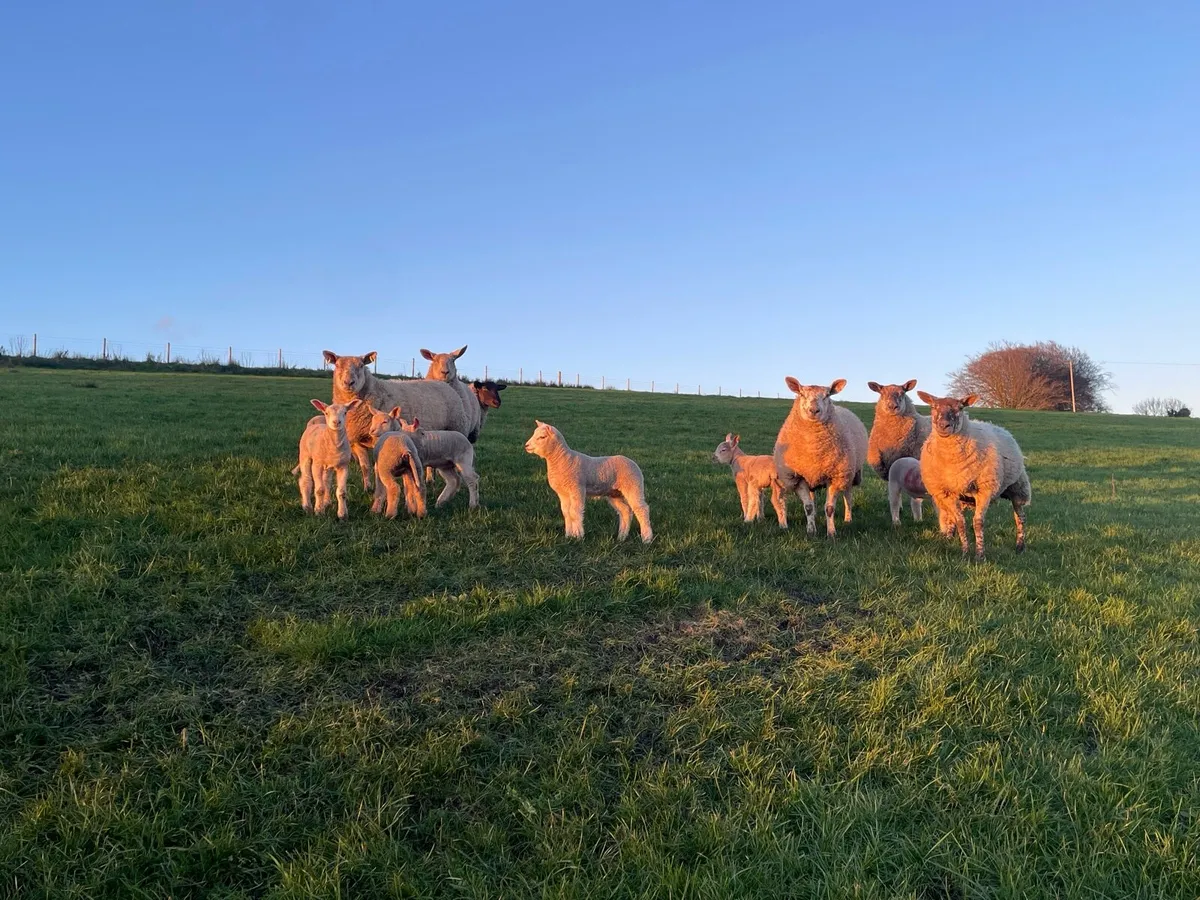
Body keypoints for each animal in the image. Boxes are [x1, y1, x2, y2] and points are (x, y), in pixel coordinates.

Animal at [323, 350, 470, 493]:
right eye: (337, 365)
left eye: (361, 365)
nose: (349, 383)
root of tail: (443, 383)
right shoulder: (358, 442)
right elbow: (365, 466)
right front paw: (367, 488)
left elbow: (377, 467)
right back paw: (430, 480)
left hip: (457, 427)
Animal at [524, 420, 652, 542]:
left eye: (542, 437)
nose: (526, 445)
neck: (562, 459)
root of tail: (632, 462)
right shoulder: (563, 493)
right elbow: (566, 513)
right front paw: (568, 536)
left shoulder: (577, 488)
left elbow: (575, 512)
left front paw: (578, 536)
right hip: (614, 493)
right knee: (625, 511)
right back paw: (621, 537)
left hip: (633, 485)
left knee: (642, 509)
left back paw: (646, 538)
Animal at [773, 378, 868, 538]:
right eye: (802, 394)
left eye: (827, 395)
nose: (814, 410)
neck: (814, 449)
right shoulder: (799, 478)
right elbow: (809, 507)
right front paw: (811, 531)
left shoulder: (835, 477)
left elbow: (829, 508)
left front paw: (831, 533)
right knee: (813, 498)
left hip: (849, 474)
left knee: (848, 497)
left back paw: (848, 519)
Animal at [916, 391, 1031, 560]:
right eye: (933, 407)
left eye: (960, 407)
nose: (943, 425)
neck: (953, 461)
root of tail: (1001, 428)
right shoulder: (947, 493)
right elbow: (960, 521)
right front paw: (964, 552)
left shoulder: (985, 490)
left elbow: (978, 523)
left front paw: (980, 555)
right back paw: (950, 537)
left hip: (1017, 487)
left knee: (1020, 517)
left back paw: (1020, 546)